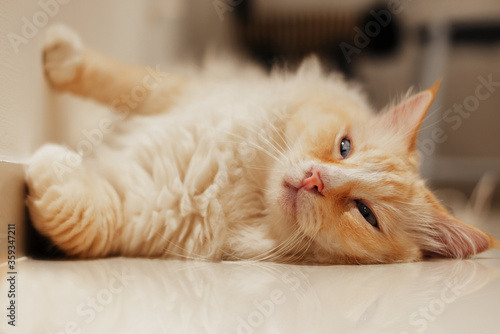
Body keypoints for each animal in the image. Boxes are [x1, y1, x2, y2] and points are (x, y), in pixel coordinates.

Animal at [24, 25, 500, 264]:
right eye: (344, 147)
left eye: (365, 213)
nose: (315, 180)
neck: (239, 182)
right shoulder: (184, 93)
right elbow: (119, 79)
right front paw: (58, 55)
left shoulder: (144, 212)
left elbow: (76, 218)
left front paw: (46, 161)